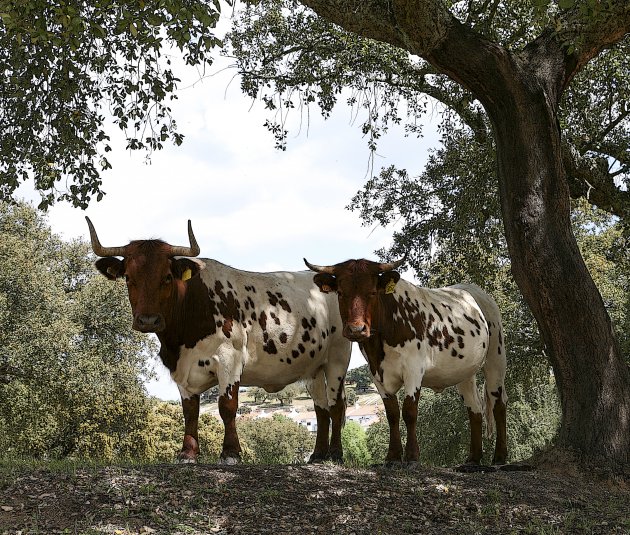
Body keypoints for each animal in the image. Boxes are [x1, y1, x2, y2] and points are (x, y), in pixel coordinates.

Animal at [87, 218, 356, 464]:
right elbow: (190, 412)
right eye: (128, 277)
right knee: (320, 408)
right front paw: (188, 453)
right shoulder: (181, 370)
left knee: (335, 405)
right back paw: (318, 455)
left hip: (337, 359)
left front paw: (230, 453)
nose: (148, 320)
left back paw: (335, 454)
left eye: (167, 277)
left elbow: (227, 406)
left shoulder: (230, 359)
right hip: (313, 368)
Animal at [306, 256, 508, 468]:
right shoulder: (377, 375)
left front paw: (412, 456)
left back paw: (500, 456)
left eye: (372, 292)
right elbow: (392, 414)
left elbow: (409, 411)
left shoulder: (413, 370)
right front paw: (392, 456)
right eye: (341, 293)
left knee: (498, 404)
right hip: (465, 373)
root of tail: (474, 290)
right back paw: (473, 459)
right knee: (475, 409)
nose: (356, 329)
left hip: (496, 358)